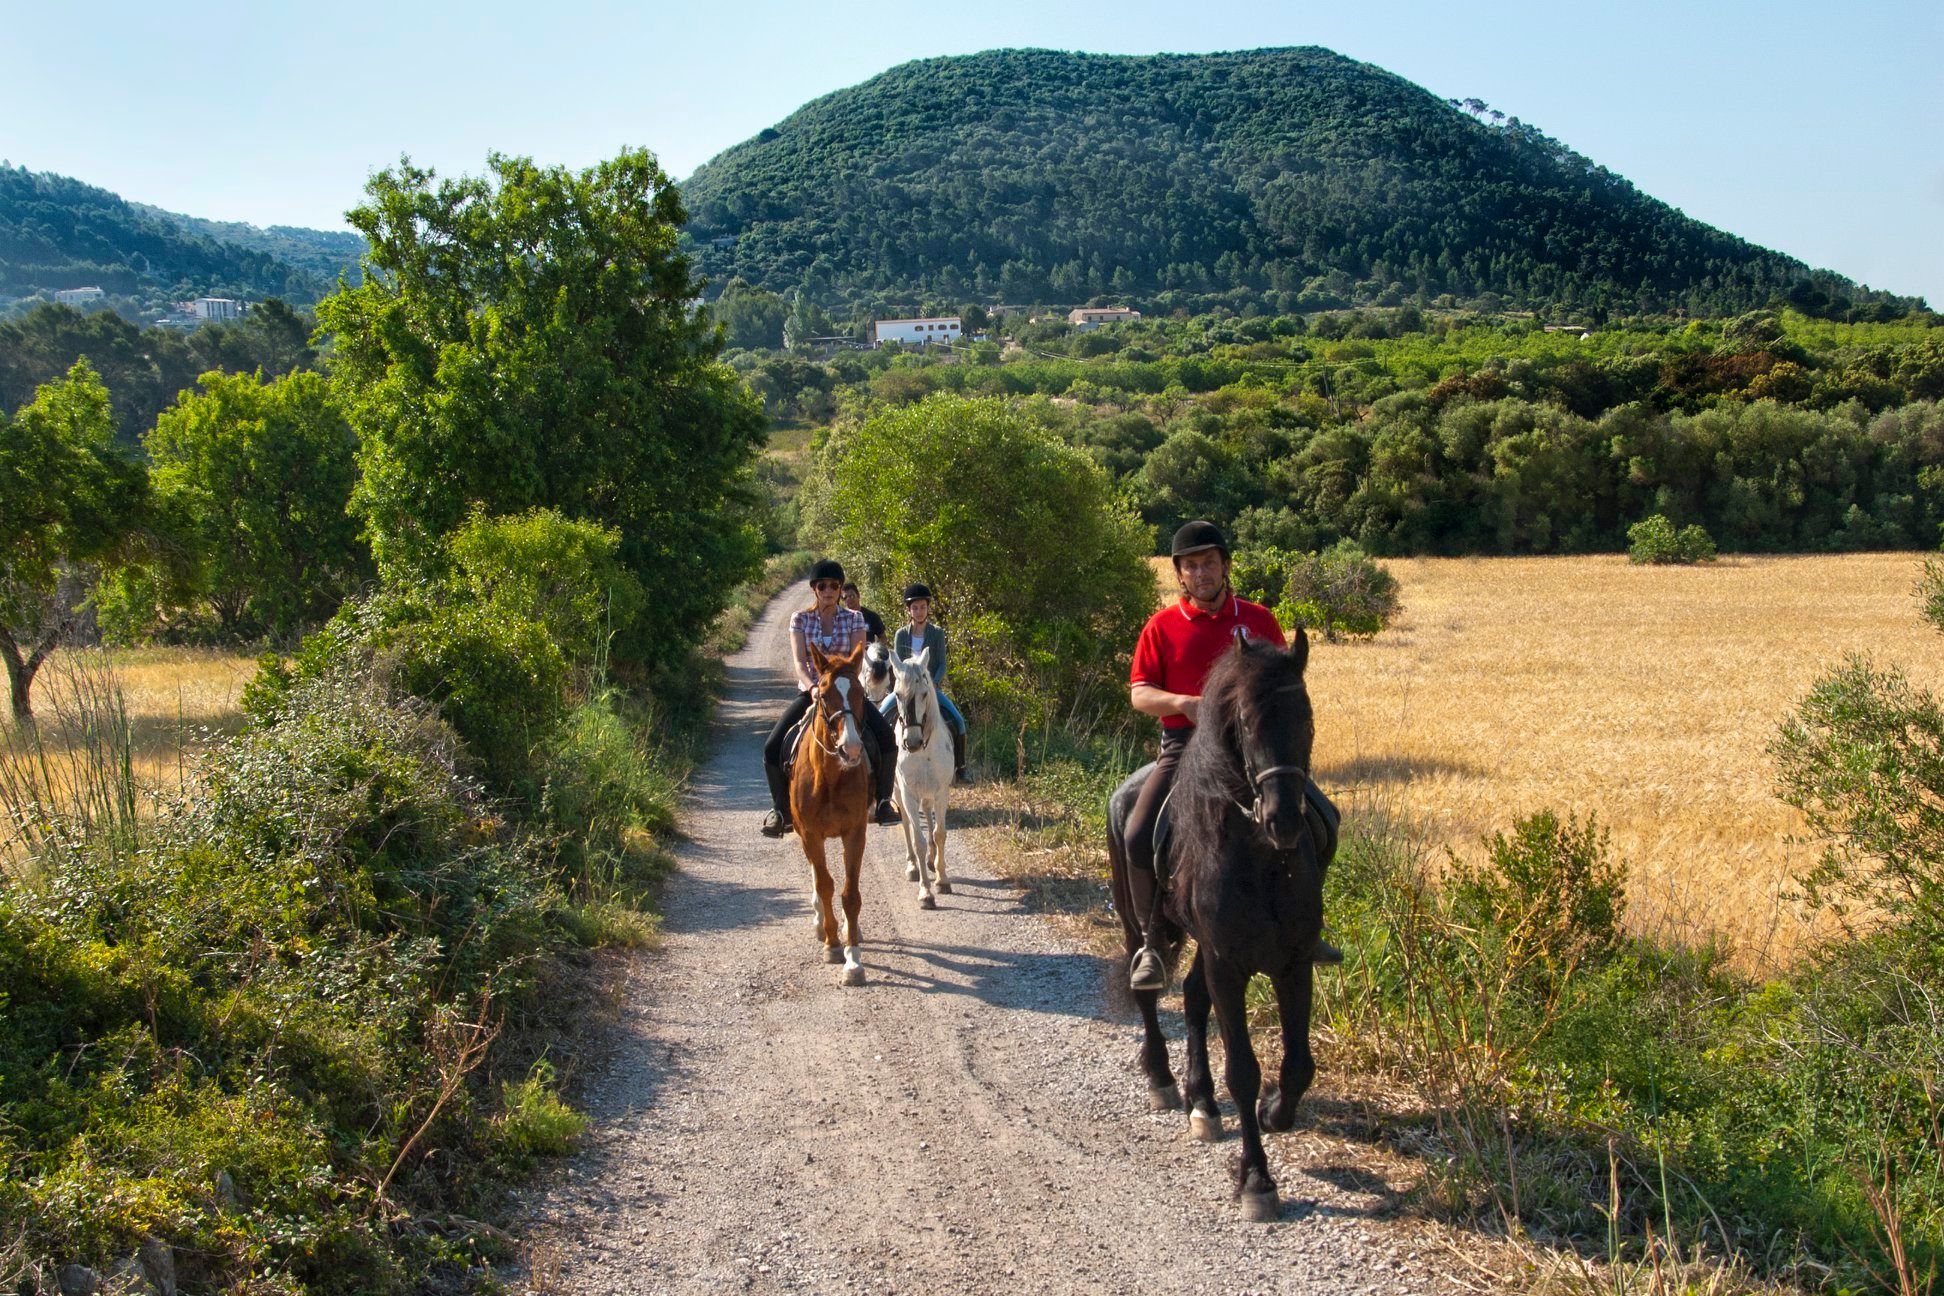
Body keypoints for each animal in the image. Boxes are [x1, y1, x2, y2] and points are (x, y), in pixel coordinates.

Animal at [887, 647, 955, 908]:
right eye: (897, 694)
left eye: (925, 694)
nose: (913, 742)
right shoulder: (908, 794)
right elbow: (918, 840)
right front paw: (926, 892)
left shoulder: (941, 792)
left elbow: (939, 833)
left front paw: (943, 880)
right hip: (899, 792)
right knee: (906, 824)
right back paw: (913, 867)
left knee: (928, 814)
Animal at [1105, 628, 1325, 1222]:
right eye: (1245, 723)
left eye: (1306, 717)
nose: (1284, 819)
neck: (1263, 858)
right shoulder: (1229, 964)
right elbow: (1244, 1071)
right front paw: (1256, 1180)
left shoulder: (1294, 961)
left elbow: (1298, 1064)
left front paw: (1275, 1112)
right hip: (1139, 923)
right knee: (1149, 989)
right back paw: (1162, 1078)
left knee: (1192, 997)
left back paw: (1200, 1100)